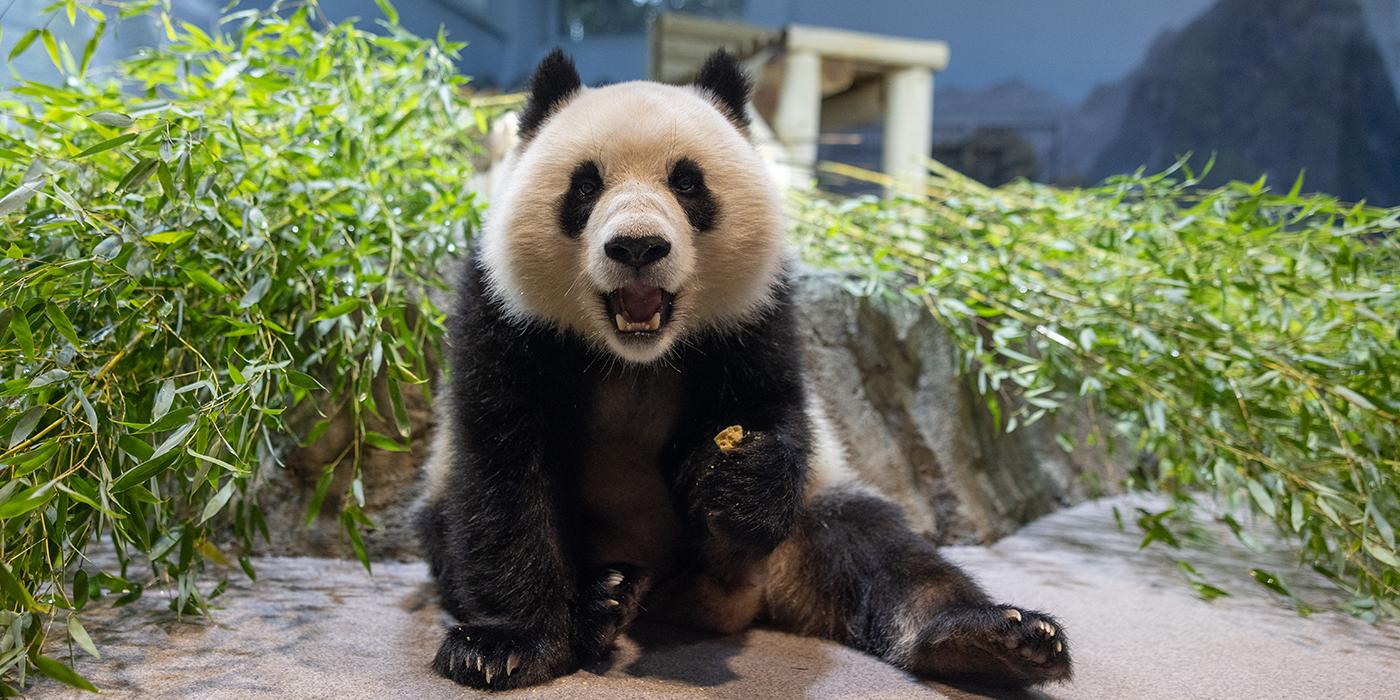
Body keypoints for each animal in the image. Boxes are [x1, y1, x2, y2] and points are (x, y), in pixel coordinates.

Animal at [414, 47, 1069, 688]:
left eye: (686, 182)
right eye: (585, 185)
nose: (637, 247)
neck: (635, 356)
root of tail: (725, 598)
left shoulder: (759, 313)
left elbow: (775, 405)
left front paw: (735, 479)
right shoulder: (505, 317)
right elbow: (506, 472)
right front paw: (504, 646)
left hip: (807, 525)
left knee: (882, 551)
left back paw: (993, 640)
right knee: (447, 530)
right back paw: (604, 602)